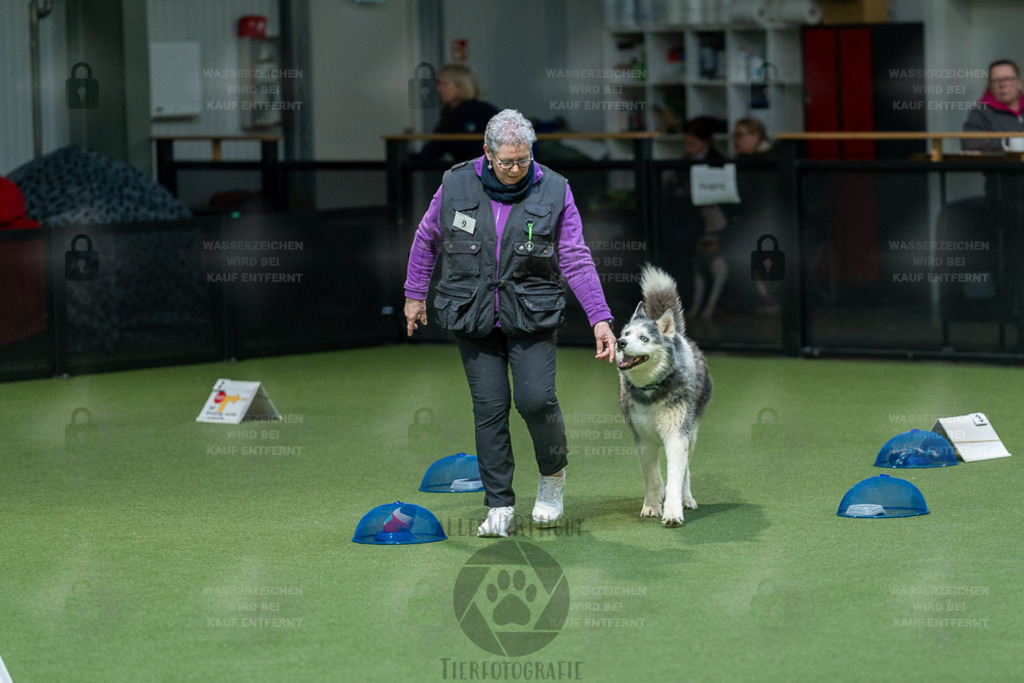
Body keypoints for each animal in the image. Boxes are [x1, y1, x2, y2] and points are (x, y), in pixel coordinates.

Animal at [614, 264, 712, 528]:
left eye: (644, 338)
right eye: (626, 333)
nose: (620, 342)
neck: (652, 389)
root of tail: (678, 335)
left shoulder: (677, 437)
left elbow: (676, 476)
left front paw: (672, 511)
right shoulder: (643, 440)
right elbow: (651, 476)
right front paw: (651, 505)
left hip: (692, 432)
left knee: (686, 471)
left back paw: (686, 499)